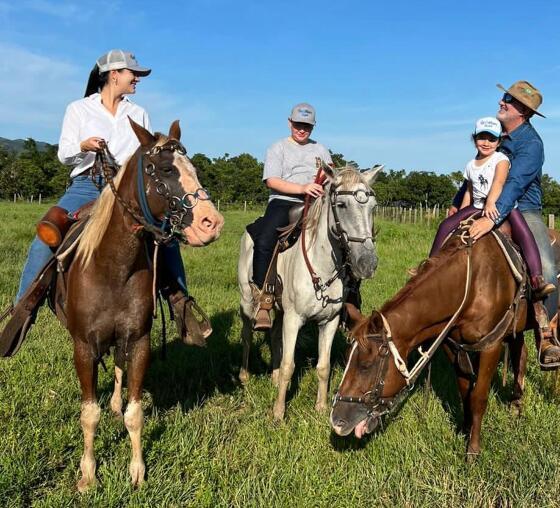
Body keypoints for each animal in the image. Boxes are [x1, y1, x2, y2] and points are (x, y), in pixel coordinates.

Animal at [64, 120, 222, 492]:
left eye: (195, 169)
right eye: (165, 170)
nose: (213, 223)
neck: (112, 268)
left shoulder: (138, 341)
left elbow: (135, 413)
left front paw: (137, 472)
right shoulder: (84, 346)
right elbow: (88, 414)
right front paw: (88, 474)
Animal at [238, 165, 382, 418]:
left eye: (373, 207)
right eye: (341, 205)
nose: (367, 263)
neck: (321, 265)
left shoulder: (330, 321)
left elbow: (323, 367)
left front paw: (321, 407)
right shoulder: (294, 319)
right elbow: (289, 366)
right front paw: (278, 413)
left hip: (279, 309)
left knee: (274, 336)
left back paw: (273, 377)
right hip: (247, 301)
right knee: (247, 335)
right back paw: (244, 377)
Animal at [330, 230, 556, 460]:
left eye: (366, 365)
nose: (337, 421)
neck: (473, 284)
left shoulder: (491, 346)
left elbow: (479, 397)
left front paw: (473, 450)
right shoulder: (454, 346)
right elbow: (465, 392)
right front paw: (465, 430)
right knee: (521, 355)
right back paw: (516, 404)